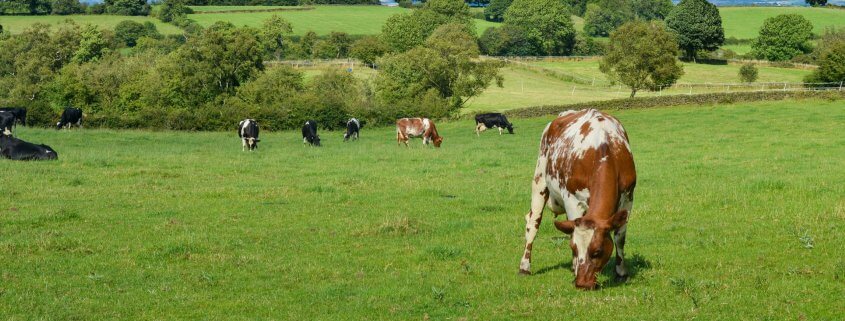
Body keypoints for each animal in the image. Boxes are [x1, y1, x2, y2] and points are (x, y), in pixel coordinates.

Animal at [516, 109, 636, 288]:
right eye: (574, 248)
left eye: (597, 251)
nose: (582, 283)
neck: (604, 148)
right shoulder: (572, 200)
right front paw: (575, 267)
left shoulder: (628, 198)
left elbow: (620, 238)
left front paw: (621, 273)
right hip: (539, 180)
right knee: (533, 223)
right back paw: (524, 267)